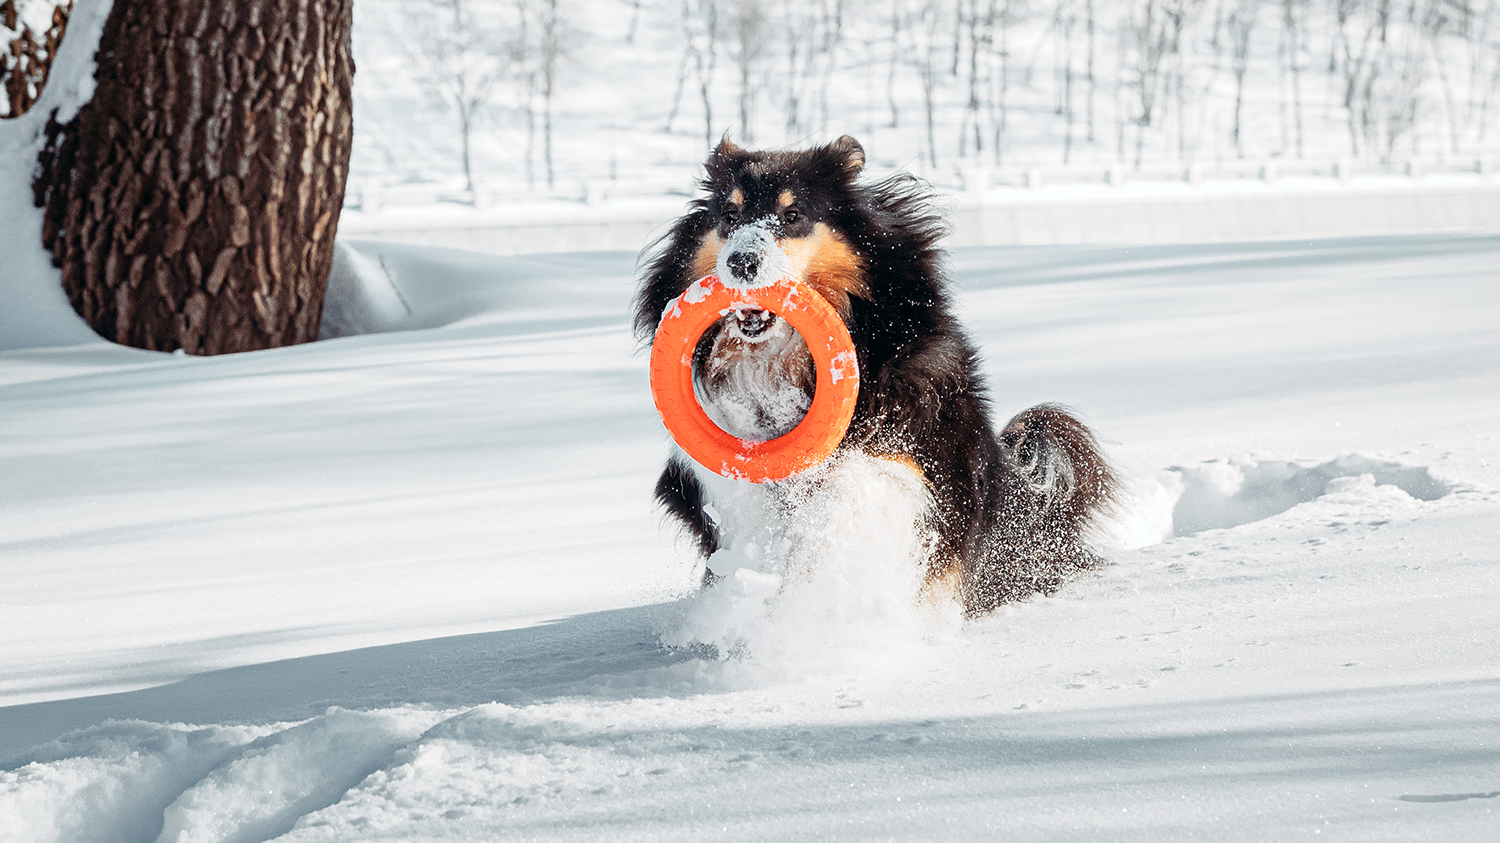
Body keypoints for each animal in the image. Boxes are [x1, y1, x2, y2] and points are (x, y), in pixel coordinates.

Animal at [633, 136, 1116, 609]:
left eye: (793, 215)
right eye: (729, 216)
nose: (741, 262)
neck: (780, 364)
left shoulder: (914, 442)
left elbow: (856, 488)